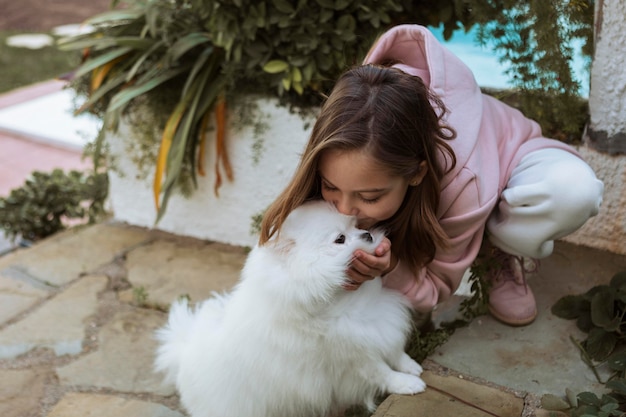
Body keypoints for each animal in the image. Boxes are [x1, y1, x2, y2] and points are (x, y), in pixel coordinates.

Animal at [155, 200, 424, 414]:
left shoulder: (376, 325)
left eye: (356, 226)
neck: (342, 297)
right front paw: (407, 383)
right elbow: (381, 371)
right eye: (340, 239)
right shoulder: (351, 355)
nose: (367, 235)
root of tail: (185, 350)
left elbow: (394, 350)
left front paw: (411, 366)